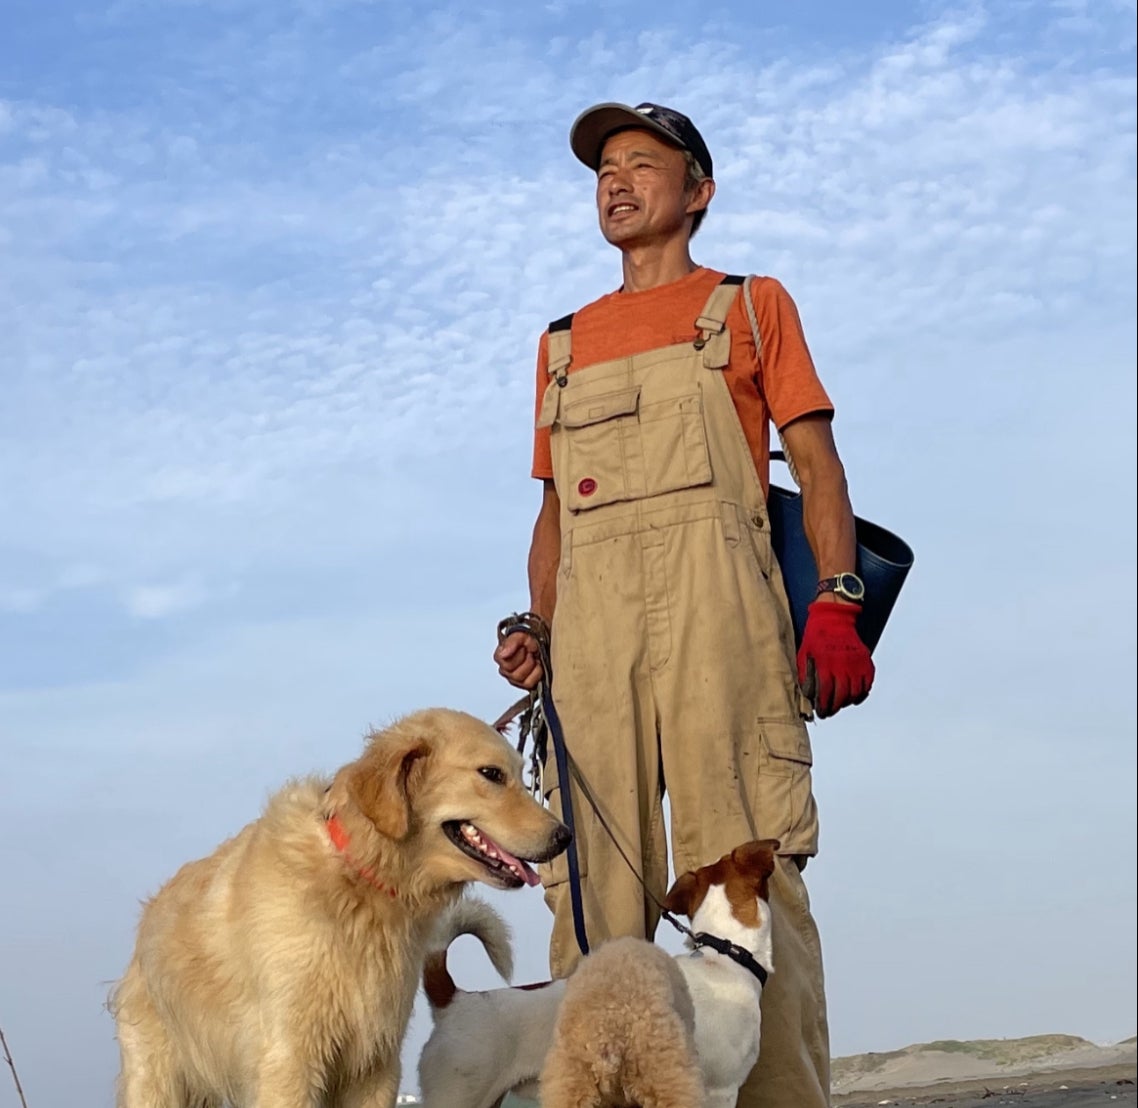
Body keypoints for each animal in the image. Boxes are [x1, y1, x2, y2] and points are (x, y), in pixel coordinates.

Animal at [111, 707, 570, 1108]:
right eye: (491, 774)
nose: (564, 836)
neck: (357, 879)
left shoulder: (375, 1062)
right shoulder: (291, 1060)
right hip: (158, 1079)